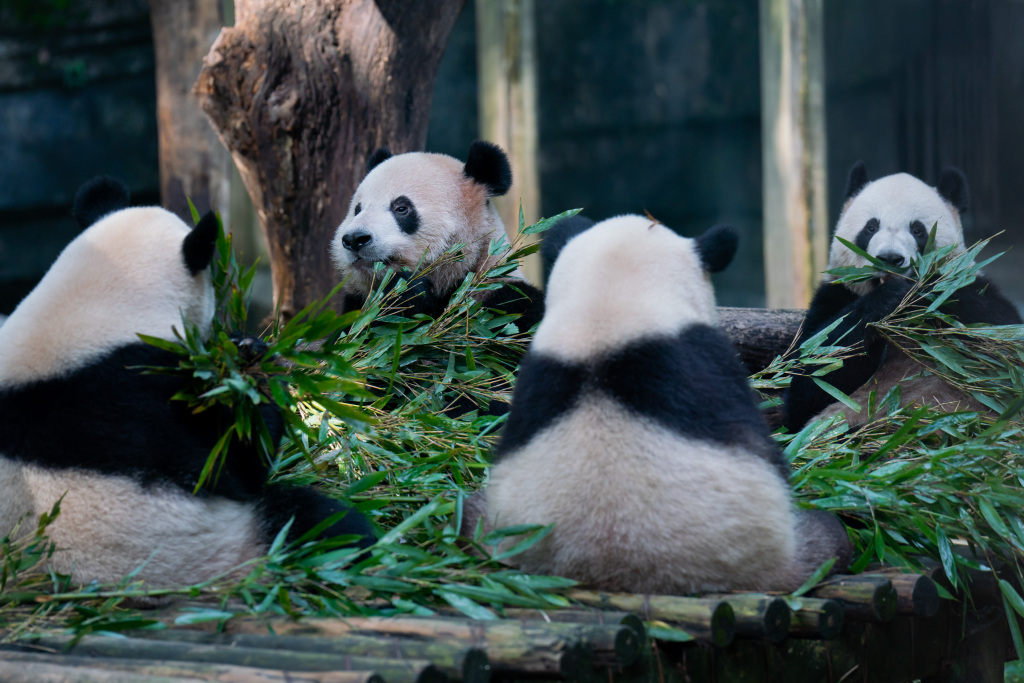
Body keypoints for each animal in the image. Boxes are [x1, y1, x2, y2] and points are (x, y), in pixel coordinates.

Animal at [331, 140, 548, 331]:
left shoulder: (504, 300)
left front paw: (405, 292)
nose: (355, 239)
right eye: (357, 209)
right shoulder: (354, 306)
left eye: (401, 208)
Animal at [778, 162, 1019, 430]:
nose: (890, 258)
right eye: (871, 227)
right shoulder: (834, 297)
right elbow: (810, 383)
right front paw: (888, 298)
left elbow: (1004, 354)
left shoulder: (977, 300)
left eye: (918, 230)